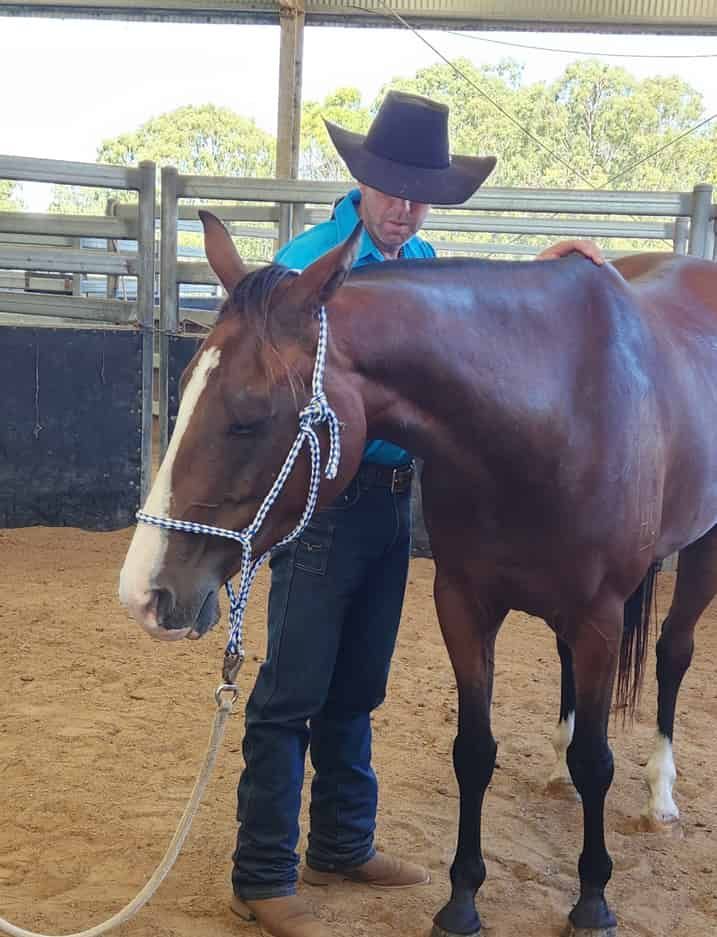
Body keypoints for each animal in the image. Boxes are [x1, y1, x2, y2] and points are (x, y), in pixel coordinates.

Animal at [119, 211, 717, 937]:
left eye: (249, 416)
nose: (143, 593)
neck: (559, 409)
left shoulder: (599, 615)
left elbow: (598, 760)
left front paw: (593, 899)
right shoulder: (463, 603)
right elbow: (474, 751)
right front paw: (461, 901)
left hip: (699, 553)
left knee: (672, 653)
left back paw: (660, 795)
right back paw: (557, 767)